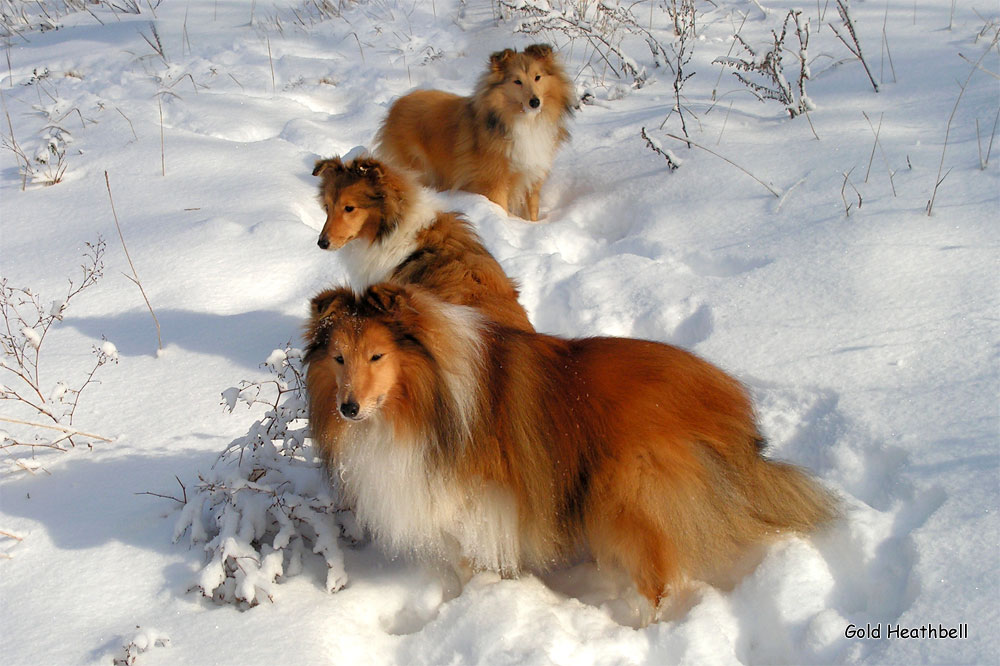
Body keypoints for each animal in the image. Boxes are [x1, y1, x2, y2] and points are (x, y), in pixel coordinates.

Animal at [306, 280, 836, 608]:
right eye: (338, 358)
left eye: (377, 356)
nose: (348, 408)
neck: (425, 397)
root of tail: (727, 401)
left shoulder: (481, 501)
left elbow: (477, 557)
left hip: (631, 493)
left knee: (660, 578)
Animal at [376, 43, 576, 220]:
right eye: (517, 81)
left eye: (537, 77)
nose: (535, 102)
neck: (526, 121)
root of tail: (398, 103)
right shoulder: (494, 183)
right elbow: (501, 207)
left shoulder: (532, 177)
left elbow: (532, 212)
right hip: (416, 166)